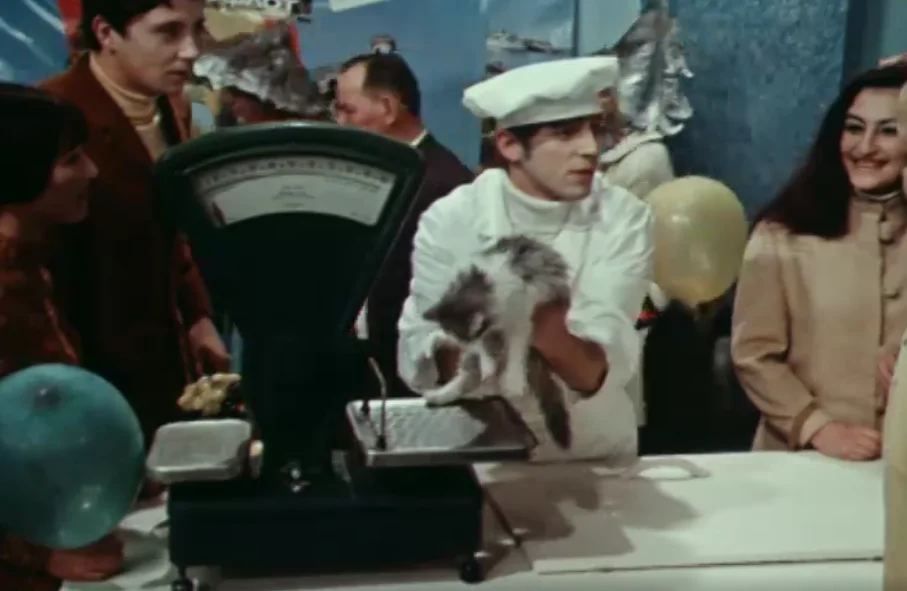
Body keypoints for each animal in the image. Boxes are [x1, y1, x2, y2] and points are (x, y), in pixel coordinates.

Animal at [421, 235, 577, 449]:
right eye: (466, 339)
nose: (464, 343)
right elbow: (481, 348)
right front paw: (483, 359)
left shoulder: (520, 314)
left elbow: (516, 345)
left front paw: (512, 376)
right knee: (467, 374)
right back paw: (442, 392)